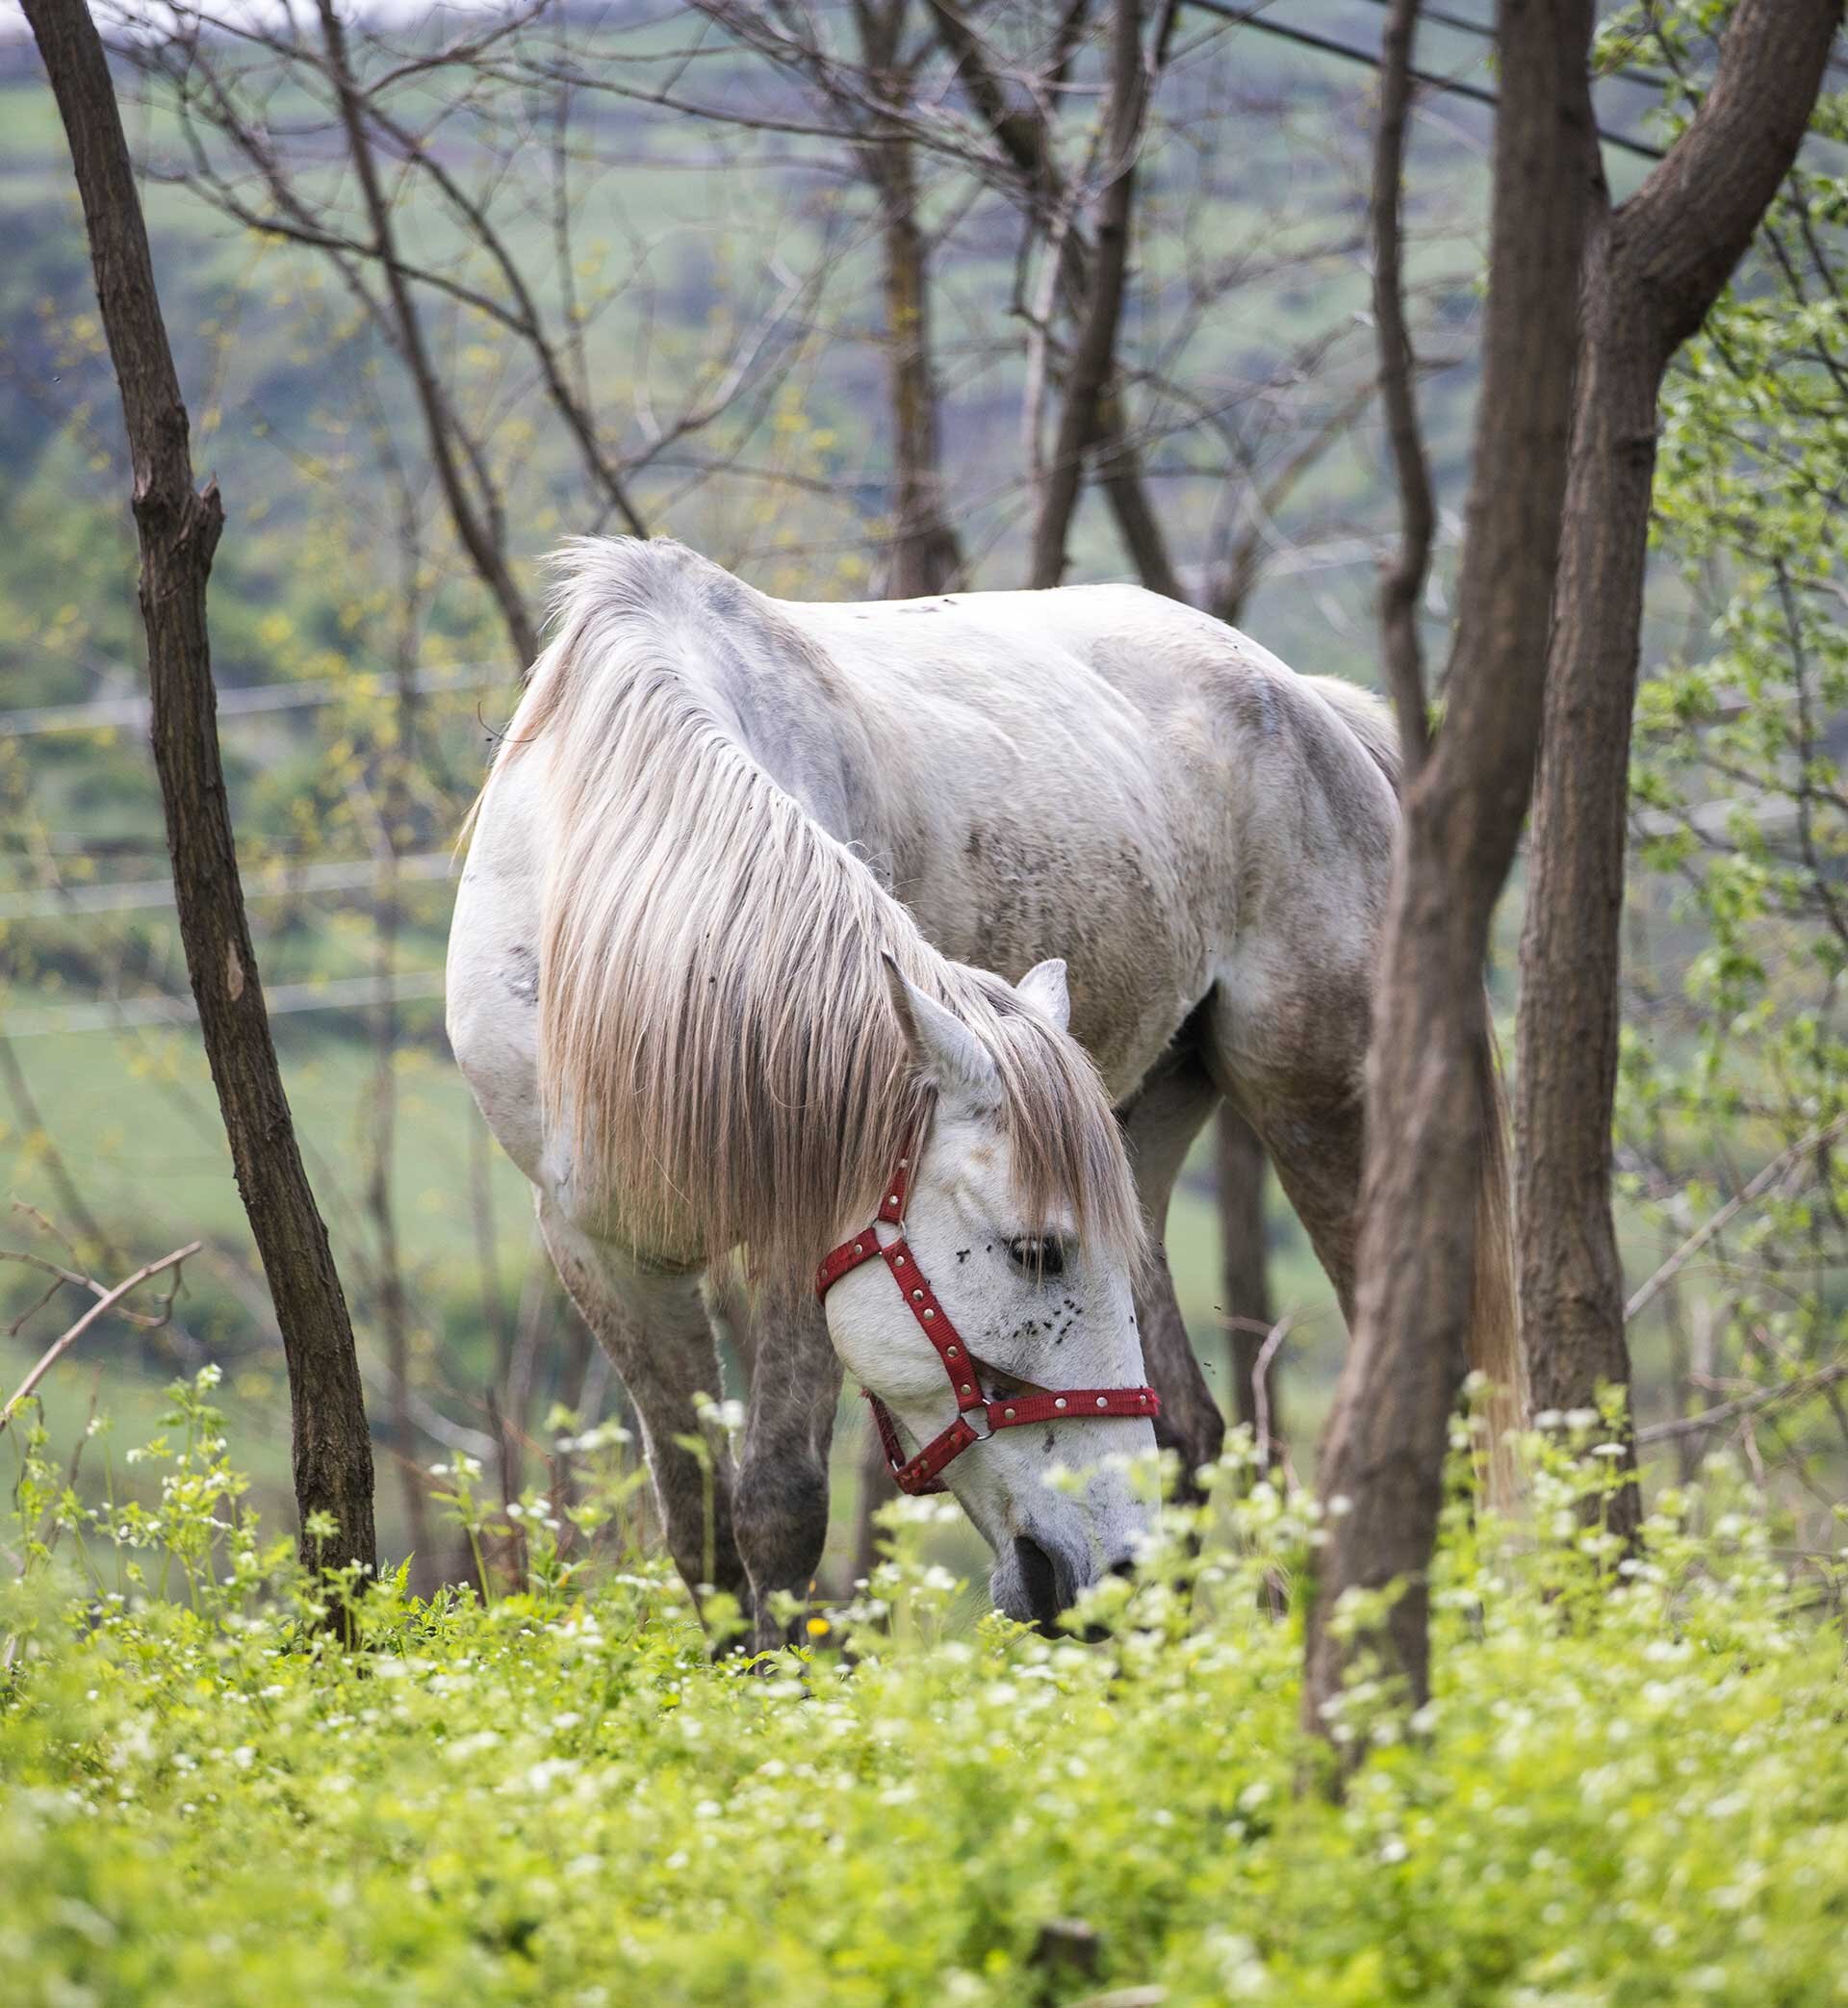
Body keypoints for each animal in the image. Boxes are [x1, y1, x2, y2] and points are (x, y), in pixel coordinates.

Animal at [451, 538, 1518, 1646]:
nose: (1106, 1561)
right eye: (1036, 1252)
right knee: (1186, 1427)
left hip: (1320, 1101)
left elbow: (780, 1511)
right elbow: (700, 1532)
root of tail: (1308, 702)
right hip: (1139, 1128)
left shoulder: (803, 1240)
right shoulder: (599, 1252)